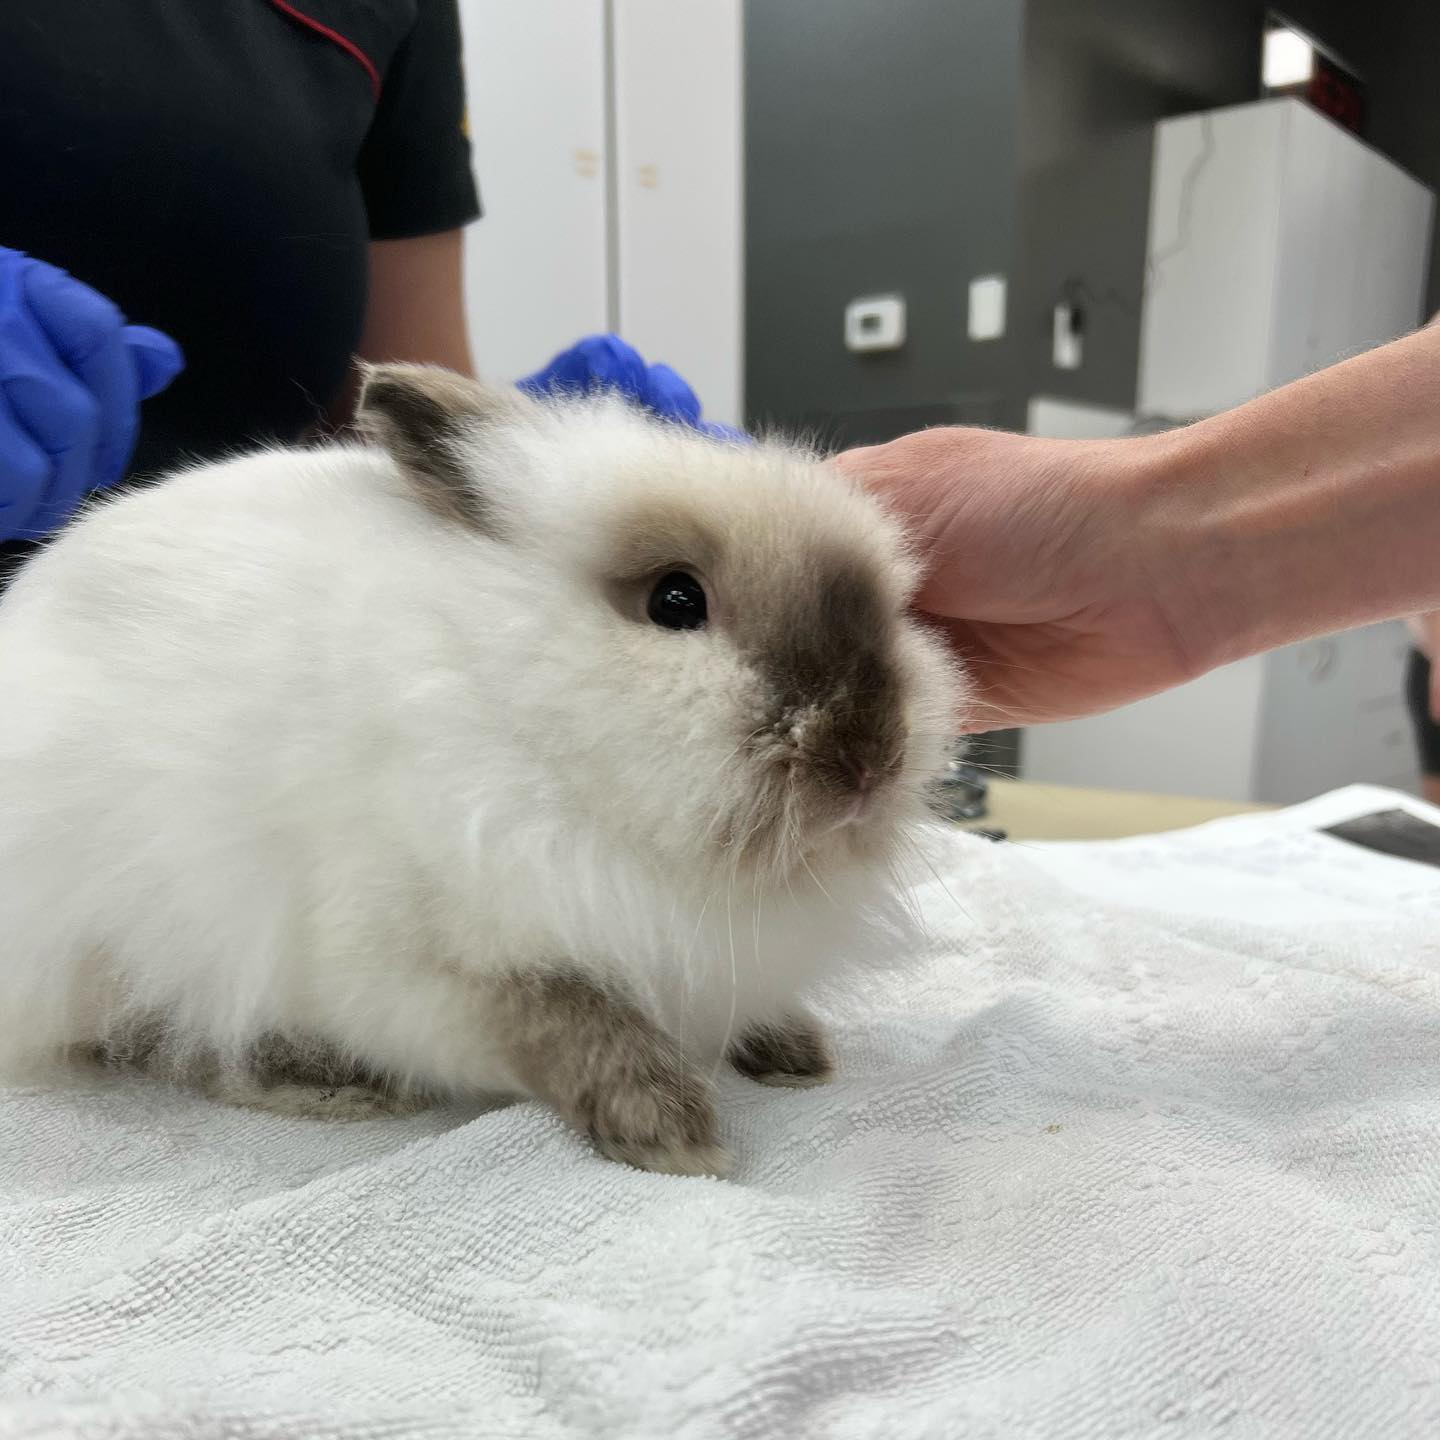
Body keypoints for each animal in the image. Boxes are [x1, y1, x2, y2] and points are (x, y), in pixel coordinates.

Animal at [0, 364, 961, 1175]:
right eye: (675, 599)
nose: (869, 758)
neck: (517, 711)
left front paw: (794, 1051)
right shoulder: (429, 971)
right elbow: (567, 1021)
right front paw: (673, 1133)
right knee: (166, 1037)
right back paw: (327, 1083)